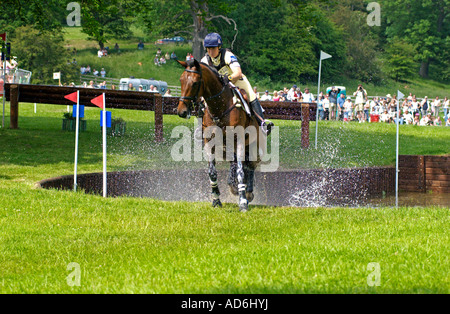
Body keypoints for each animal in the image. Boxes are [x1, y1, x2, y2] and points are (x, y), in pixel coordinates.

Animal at [178, 58, 266, 211]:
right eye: (181, 80)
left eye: (194, 83)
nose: (181, 111)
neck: (219, 107)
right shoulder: (209, 142)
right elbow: (212, 172)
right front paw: (216, 200)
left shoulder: (239, 140)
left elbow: (240, 171)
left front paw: (243, 202)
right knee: (237, 164)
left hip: (254, 146)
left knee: (250, 166)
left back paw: (248, 193)